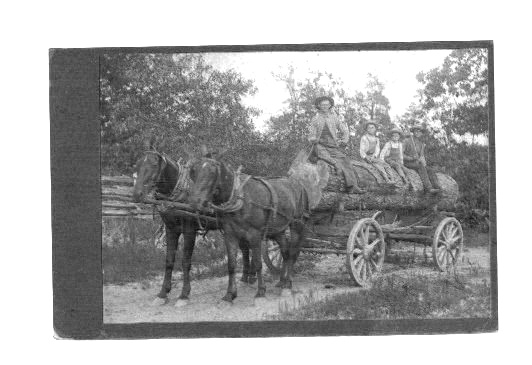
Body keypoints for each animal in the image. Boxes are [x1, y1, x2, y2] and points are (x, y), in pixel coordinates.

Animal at [132, 149, 258, 306]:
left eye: (154, 164)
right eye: (137, 164)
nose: (137, 194)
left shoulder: (189, 231)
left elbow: (185, 262)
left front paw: (183, 295)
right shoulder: (171, 229)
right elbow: (169, 261)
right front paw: (163, 293)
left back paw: (252, 276)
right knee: (246, 249)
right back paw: (246, 277)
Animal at [189, 153, 310, 302]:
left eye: (212, 172)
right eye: (193, 171)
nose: (195, 202)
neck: (239, 197)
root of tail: (299, 185)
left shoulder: (255, 235)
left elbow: (258, 263)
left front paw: (261, 291)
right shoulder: (230, 235)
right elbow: (231, 265)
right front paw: (230, 294)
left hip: (297, 224)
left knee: (293, 252)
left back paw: (288, 284)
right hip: (278, 230)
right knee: (285, 252)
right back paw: (281, 281)